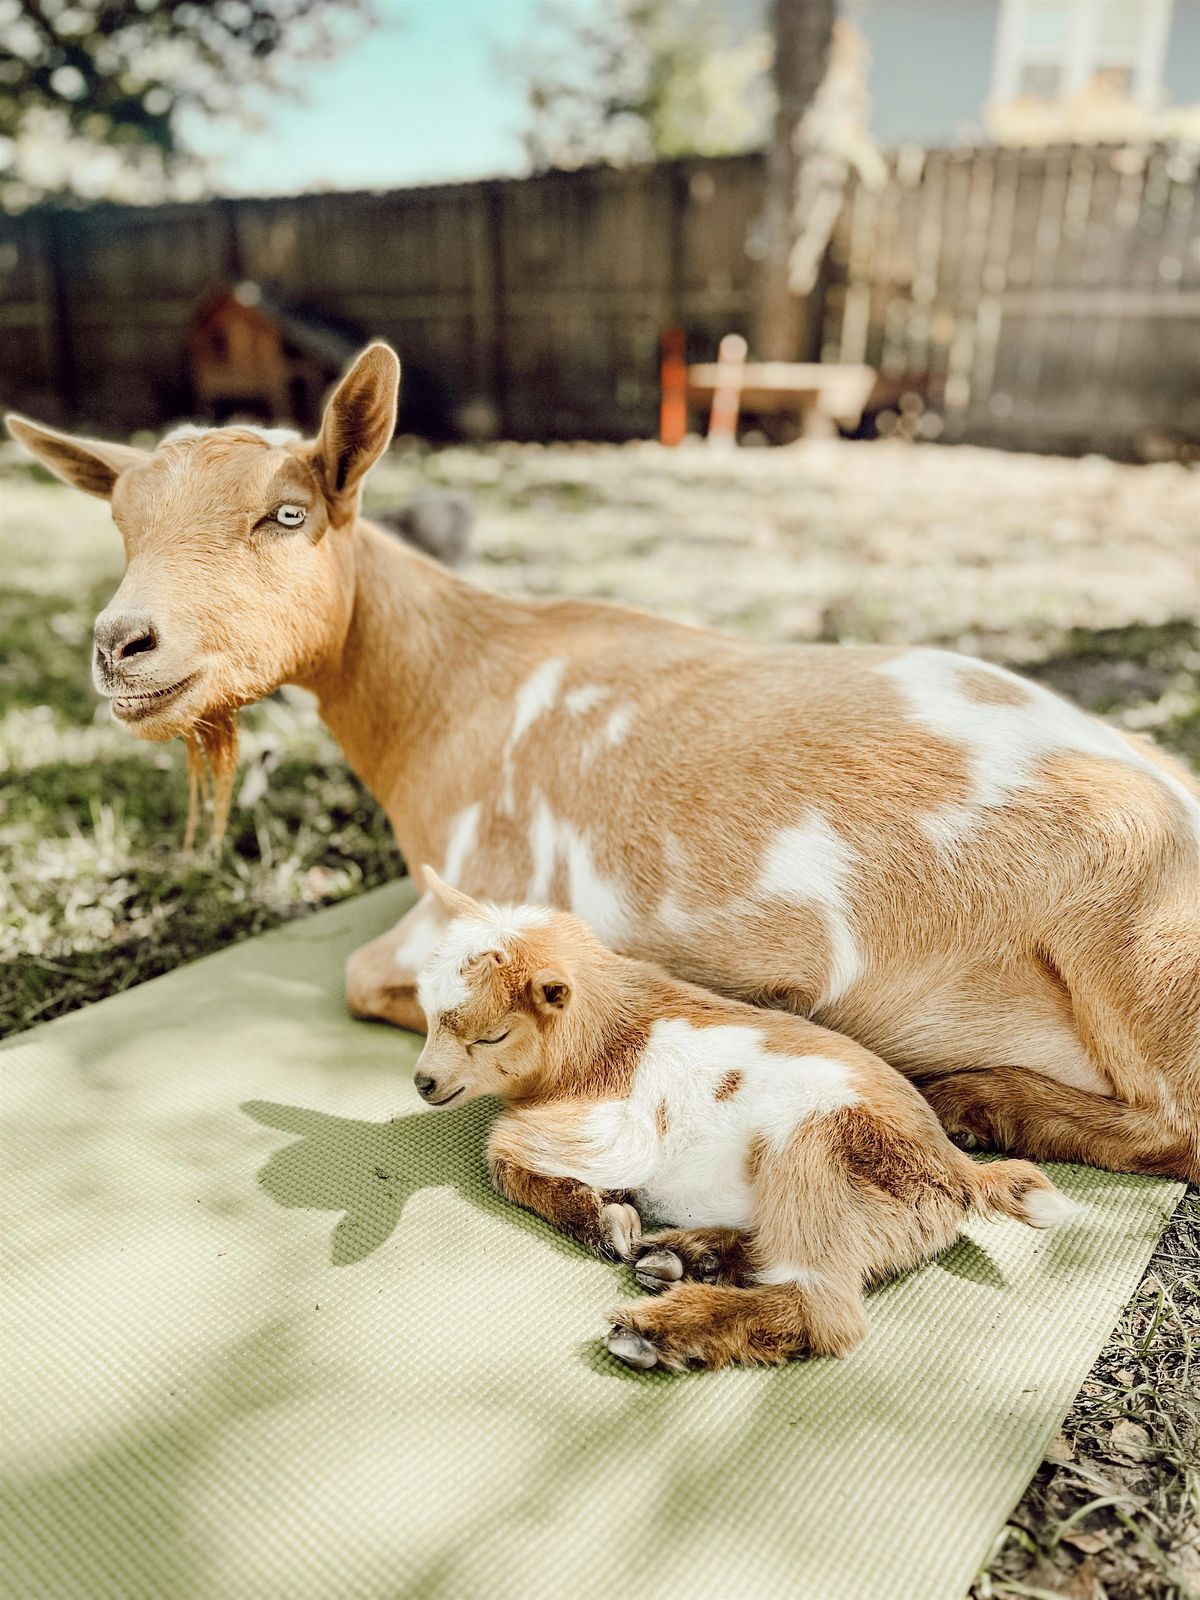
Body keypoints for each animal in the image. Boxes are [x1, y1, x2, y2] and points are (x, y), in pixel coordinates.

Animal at [416, 870, 1081, 1369]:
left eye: (492, 1034)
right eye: (427, 1010)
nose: (423, 1083)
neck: (605, 1035)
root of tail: (959, 1172)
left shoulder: (611, 1129)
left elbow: (502, 1149)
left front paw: (605, 1219)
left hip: (818, 1153)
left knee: (825, 1308)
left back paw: (659, 1328)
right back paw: (688, 1259)